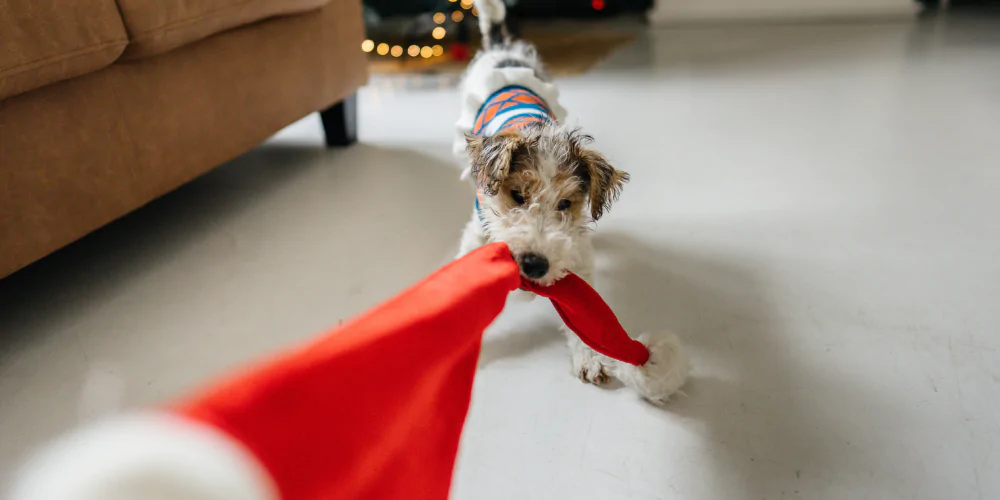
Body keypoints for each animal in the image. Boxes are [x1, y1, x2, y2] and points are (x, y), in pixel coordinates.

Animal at [456, 0, 628, 386]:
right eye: (518, 195)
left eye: (566, 203)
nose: (534, 264)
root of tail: (503, 50)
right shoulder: (477, 231)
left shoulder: (577, 249)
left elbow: (584, 311)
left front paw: (591, 358)